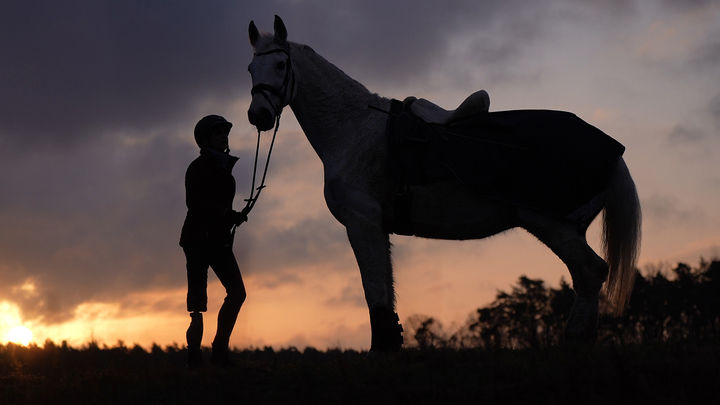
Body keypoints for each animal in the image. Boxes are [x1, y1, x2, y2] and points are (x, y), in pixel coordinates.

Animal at [248, 15, 640, 350]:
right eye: (251, 68)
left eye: (280, 65)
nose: (259, 116)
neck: (354, 131)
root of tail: (610, 148)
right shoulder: (378, 228)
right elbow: (386, 296)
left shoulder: (362, 224)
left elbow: (374, 292)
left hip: (553, 225)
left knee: (590, 273)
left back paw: (573, 340)